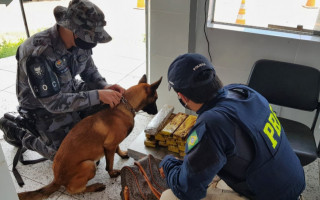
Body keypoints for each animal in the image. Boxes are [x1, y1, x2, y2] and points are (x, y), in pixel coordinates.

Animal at [18, 74, 162, 200]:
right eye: (155, 98)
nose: (156, 112)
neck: (124, 107)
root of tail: (57, 179)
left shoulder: (111, 144)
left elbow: (117, 149)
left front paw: (121, 154)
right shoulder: (109, 145)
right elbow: (109, 164)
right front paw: (112, 174)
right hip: (88, 165)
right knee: (72, 190)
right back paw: (94, 187)